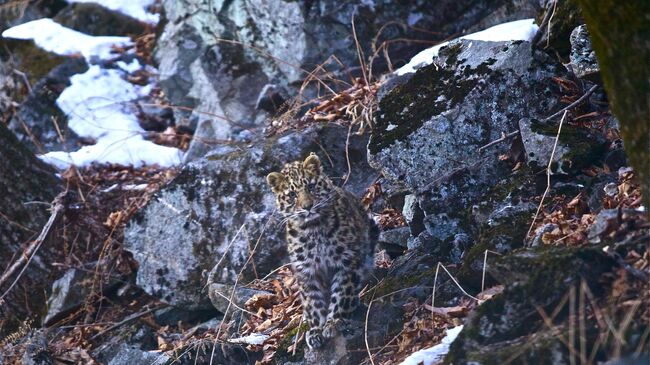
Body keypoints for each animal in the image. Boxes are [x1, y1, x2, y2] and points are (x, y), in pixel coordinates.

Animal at [264, 152, 374, 348]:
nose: (307, 207)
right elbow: (313, 303)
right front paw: (315, 330)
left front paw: (333, 323)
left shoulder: (346, 262)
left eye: (311, 186)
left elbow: (341, 293)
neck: (313, 229)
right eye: (292, 195)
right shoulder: (307, 272)